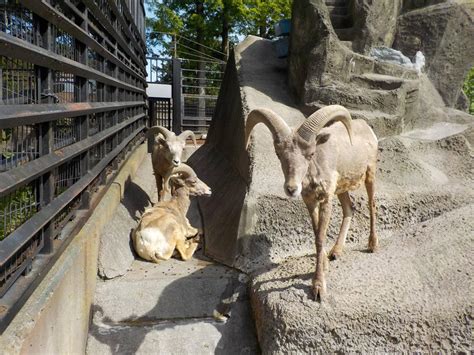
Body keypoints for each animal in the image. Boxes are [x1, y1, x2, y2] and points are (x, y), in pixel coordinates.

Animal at [246, 104, 380, 302]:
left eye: (310, 154)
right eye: (278, 154)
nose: (291, 189)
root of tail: (367, 129)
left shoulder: (326, 199)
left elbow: (321, 237)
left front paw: (318, 289)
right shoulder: (310, 201)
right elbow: (317, 234)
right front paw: (324, 265)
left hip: (370, 174)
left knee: (371, 205)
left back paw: (372, 245)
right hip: (342, 188)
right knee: (349, 209)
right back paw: (336, 252)